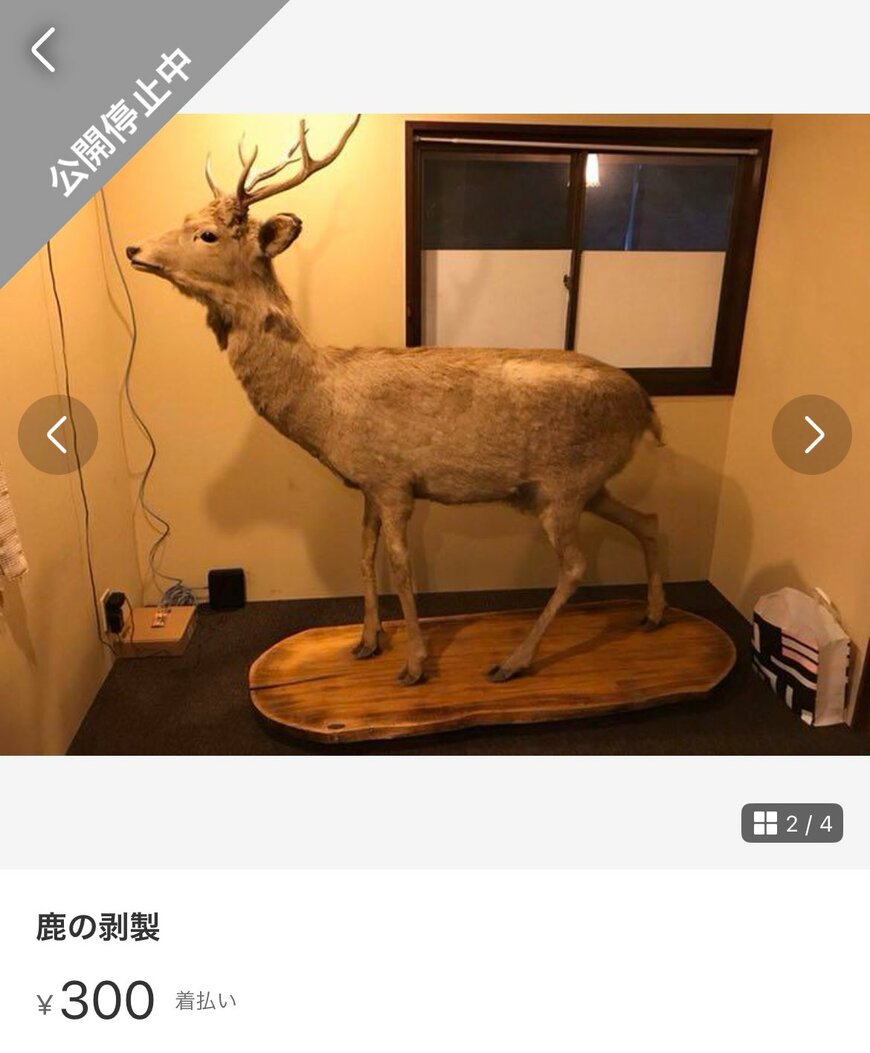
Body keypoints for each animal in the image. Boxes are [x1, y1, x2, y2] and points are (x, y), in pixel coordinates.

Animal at [127, 116, 666, 687]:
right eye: (186, 217)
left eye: (206, 234)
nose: (134, 249)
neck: (325, 405)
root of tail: (647, 408)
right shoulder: (367, 483)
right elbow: (365, 558)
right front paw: (367, 642)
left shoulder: (394, 481)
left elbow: (403, 568)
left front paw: (415, 664)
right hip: (585, 483)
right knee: (648, 520)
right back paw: (652, 615)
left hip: (565, 485)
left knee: (575, 566)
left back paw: (514, 660)